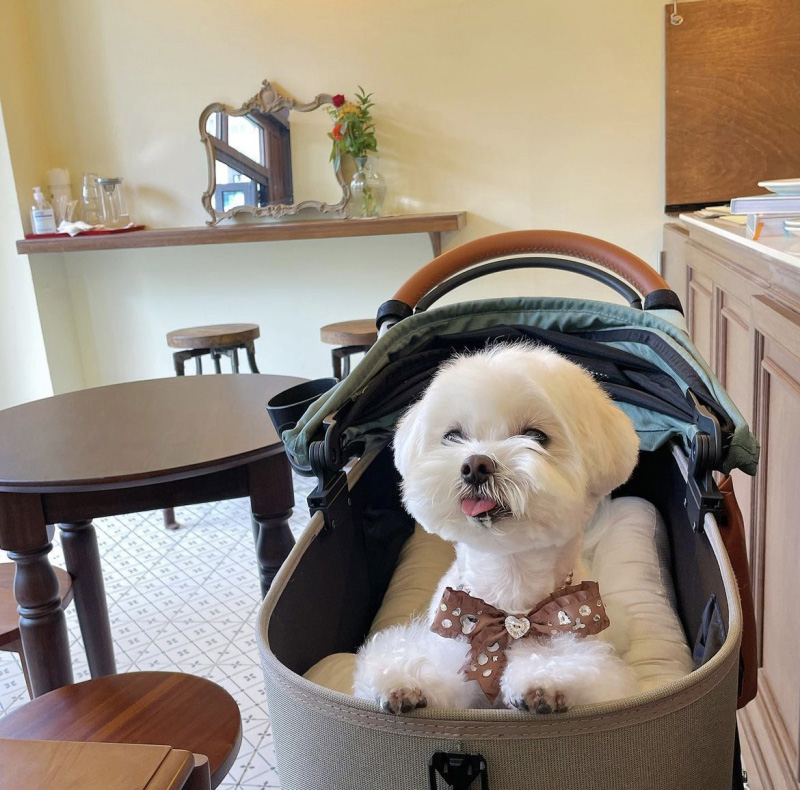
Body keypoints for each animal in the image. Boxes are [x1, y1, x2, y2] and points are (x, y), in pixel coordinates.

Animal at [353, 344, 641, 713]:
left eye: (536, 437)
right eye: (453, 436)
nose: (475, 465)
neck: (508, 576)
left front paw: (545, 681)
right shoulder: (451, 641)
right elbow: (435, 671)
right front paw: (404, 682)